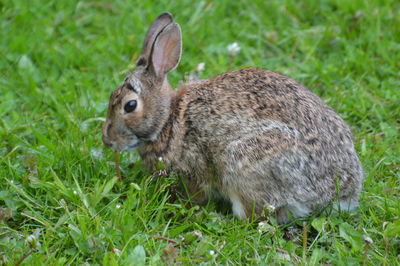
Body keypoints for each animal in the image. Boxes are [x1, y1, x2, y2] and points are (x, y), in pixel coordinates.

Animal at [102, 13, 362, 224]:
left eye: (130, 105)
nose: (107, 140)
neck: (168, 119)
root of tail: (340, 193)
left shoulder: (194, 169)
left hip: (244, 167)